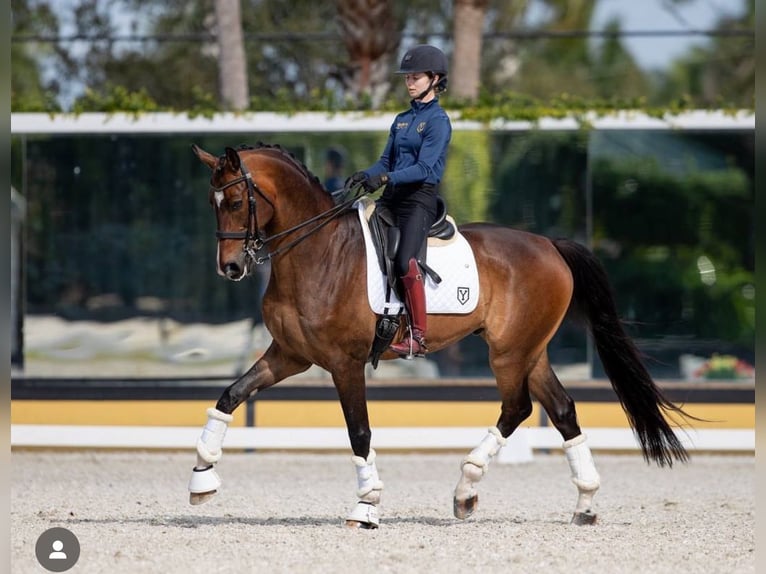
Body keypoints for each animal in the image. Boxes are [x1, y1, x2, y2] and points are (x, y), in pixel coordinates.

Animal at [188, 143, 696, 532]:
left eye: (236, 202)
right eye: (211, 203)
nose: (230, 267)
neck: (317, 253)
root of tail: (550, 245)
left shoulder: (344, 363)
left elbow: (359, 431)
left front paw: (367, 506)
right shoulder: (290, 356)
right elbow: (230, 396)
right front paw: (202, 476)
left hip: (508, 352)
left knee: (518, 408)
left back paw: (466, 490)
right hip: (530, 351)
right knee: (562, 410)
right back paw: (584, 505)